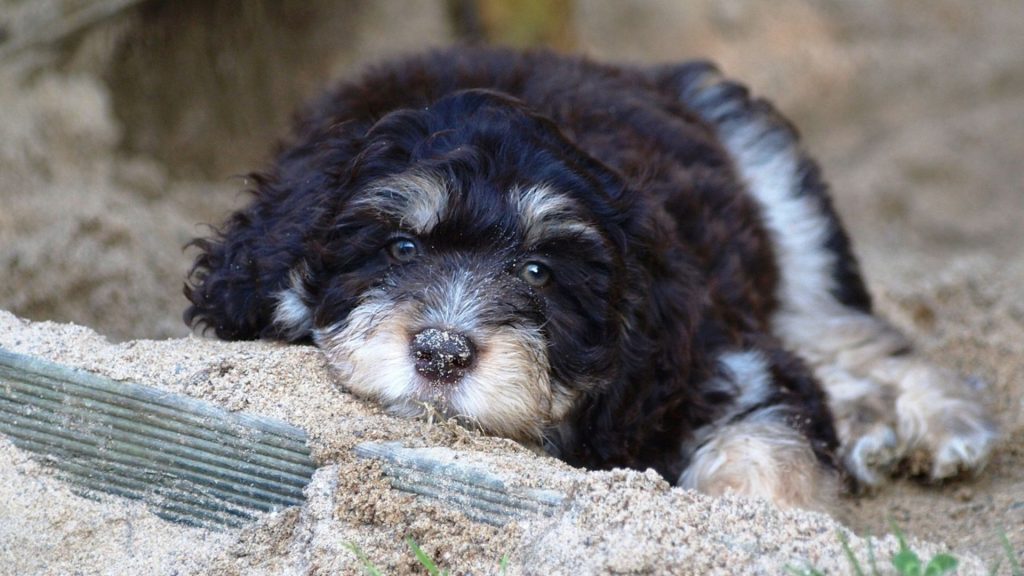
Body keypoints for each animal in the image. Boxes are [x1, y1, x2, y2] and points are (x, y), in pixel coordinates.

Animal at [184, 48, 991, 506]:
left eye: (540, 272)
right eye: (401, 248)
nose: (442, 353)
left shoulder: (719, 359)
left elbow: (767, 453)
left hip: (774, 185)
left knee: (845, 330)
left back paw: (940, 421)